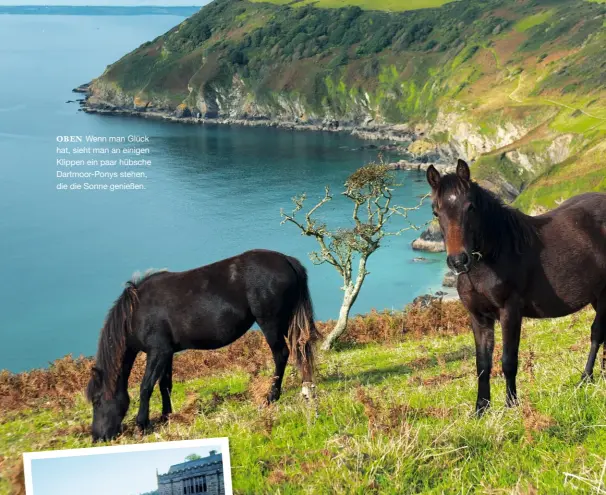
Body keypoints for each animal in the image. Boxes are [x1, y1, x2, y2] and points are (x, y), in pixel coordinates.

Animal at [88, 250, 324, 444]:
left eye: (97, 401)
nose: (98, 437)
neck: (136, 312)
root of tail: (287, 260)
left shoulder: (157, 352)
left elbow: (146, 387)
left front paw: (142, 425)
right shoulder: (167, 353)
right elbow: (165, 385)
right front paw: (166, 416)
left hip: (271, 323)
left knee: (281, 354)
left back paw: (272, 396)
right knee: (301, 349)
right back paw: (306, 387)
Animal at [428, 161, 606, 416]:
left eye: (470, 207)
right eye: (436, 212)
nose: (458, 261)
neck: (495, 253)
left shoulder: (510, 312)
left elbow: (508, 360)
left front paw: (511, 404)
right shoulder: (478, 317)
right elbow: (482, 364)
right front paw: (481, 409)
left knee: (597, 333)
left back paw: (586, 377)